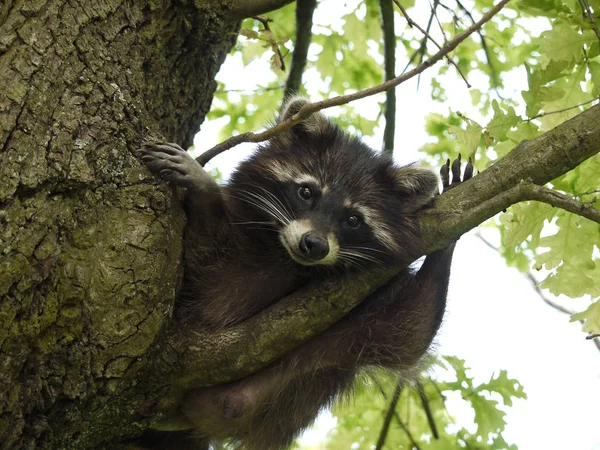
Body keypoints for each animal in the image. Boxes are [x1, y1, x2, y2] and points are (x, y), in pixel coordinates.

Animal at [138, 98, 472, 450]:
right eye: (307, 192)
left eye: (353, 219)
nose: (314, 245)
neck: (289, 261)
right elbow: (215, 281)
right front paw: (206, 188)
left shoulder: (353, 326)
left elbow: (409, 332)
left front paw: (446, 243)